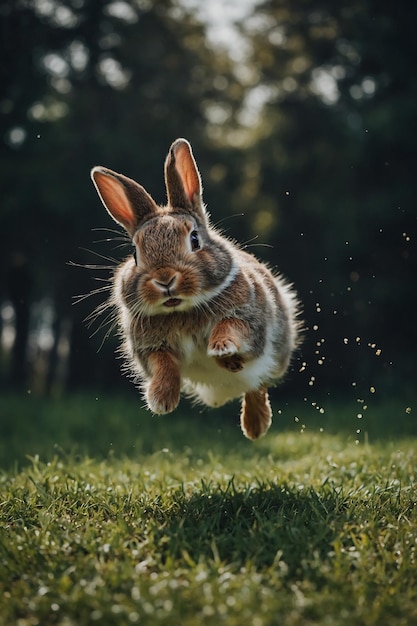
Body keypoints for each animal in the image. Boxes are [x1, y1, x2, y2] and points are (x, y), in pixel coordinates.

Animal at [90, 138, 300, 438]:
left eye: (194, 240)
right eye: (135, 254)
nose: (165, 279)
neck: (182, 310)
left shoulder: (250, 321)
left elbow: (230, 327)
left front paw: (222, 349)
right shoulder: (151, 348)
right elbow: (164, 365)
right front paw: (161, 401)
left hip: (275, 357)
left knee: (257, 385)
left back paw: (255, 426)